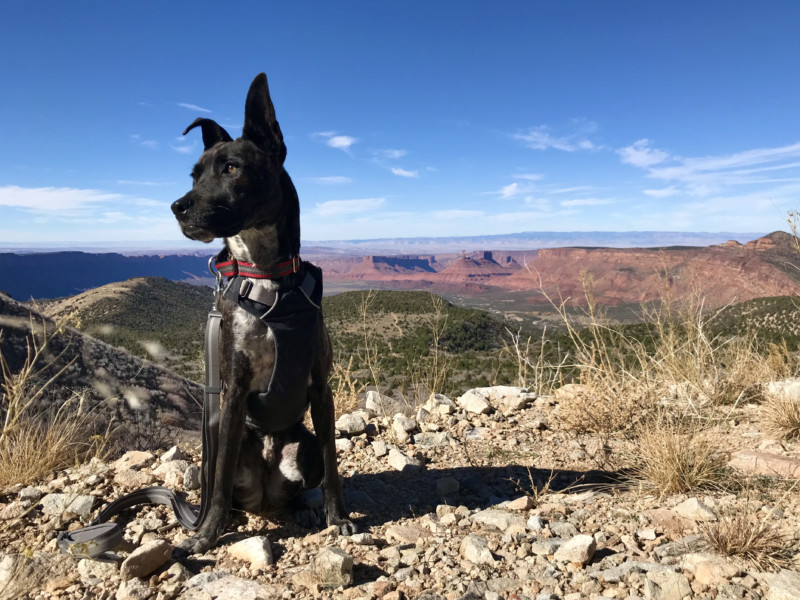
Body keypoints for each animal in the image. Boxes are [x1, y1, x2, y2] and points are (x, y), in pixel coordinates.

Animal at [170, 72, 354, 556]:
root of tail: (266, 495)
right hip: (218, 444)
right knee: (221, 482)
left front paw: (339, 517)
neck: (268, 281)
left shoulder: (320, 387)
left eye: (232, 168)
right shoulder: (234, 391)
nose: (178, 207)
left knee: (307, 478)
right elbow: (216, 487)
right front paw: (205, 536)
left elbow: (333, 463)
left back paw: (303, 507)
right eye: (194, 174)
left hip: (301, 444)